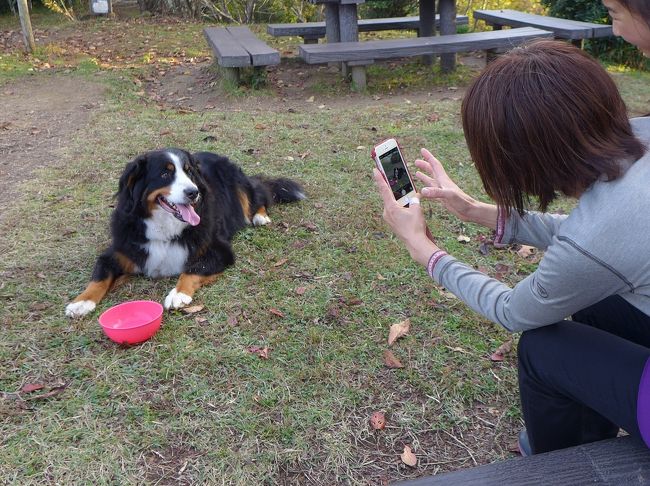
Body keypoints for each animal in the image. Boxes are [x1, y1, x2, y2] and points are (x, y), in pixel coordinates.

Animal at [66, 147, 306, 318]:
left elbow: (193, 269)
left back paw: (260, 216)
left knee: (259, 194)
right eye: (165, 173)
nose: (194, 192)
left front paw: (178, 294)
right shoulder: (118, 251)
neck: (165, 229)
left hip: (239, 186)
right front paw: (81, 302)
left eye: (189, 172)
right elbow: (99, 276)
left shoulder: (219, 250)